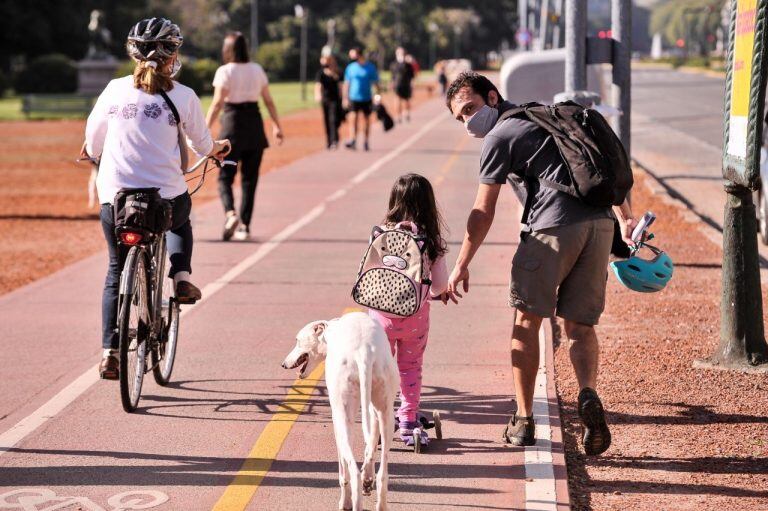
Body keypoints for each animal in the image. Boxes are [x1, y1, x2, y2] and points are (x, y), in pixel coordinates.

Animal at [284, 312, 402, 511]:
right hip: (386, 413)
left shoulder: (336, 419)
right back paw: (378, 498)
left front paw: (344, 501)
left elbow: (343, 472)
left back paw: (354, 501)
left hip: (344, 417)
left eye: (298, 340)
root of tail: (364, 352)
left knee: (353, 472)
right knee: (382, 473)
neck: (331, 330)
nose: (284, 364)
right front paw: (368, 480)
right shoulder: (373, 411)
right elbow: (370, 447)